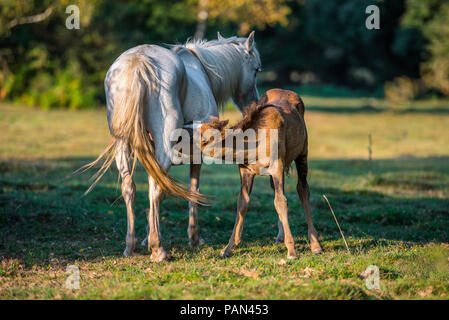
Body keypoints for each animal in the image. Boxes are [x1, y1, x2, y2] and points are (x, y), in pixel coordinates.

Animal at [80, 31, 260, 262]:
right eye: (256, 70)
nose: (253, 105)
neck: (202, 71)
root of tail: (139, 61)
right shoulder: (195, 154)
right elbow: (191, 190)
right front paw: (193, 238)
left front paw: (147, 236)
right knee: (155, 187)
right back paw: (159, 250)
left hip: (123, 144)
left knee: (130, 187)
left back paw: (131, 246)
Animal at [200, 89, 322, 258]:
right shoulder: (246, 170)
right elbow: (242, 202)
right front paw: (227, 248)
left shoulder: (277, 164)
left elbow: (280, 202)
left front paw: (292, 251)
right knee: (280, 190)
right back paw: (280, 237)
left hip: (303, 152)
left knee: (303, 189)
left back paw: (315, 245)